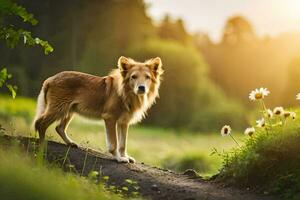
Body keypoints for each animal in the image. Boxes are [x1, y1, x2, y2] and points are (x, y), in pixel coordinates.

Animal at [33, 55, 163, 162]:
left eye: (147, 77)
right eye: (133, 77)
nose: (141, 88)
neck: (126, 92)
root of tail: (50, 79)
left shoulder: (123, 122)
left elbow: (123, 144)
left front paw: (124, 156)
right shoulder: (110, 118)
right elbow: (114, 143)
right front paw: (118, 158)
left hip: (69, 110)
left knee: (59, 128)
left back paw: (70, 143)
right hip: (58, 109)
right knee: (41, 123)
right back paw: (42, 145)